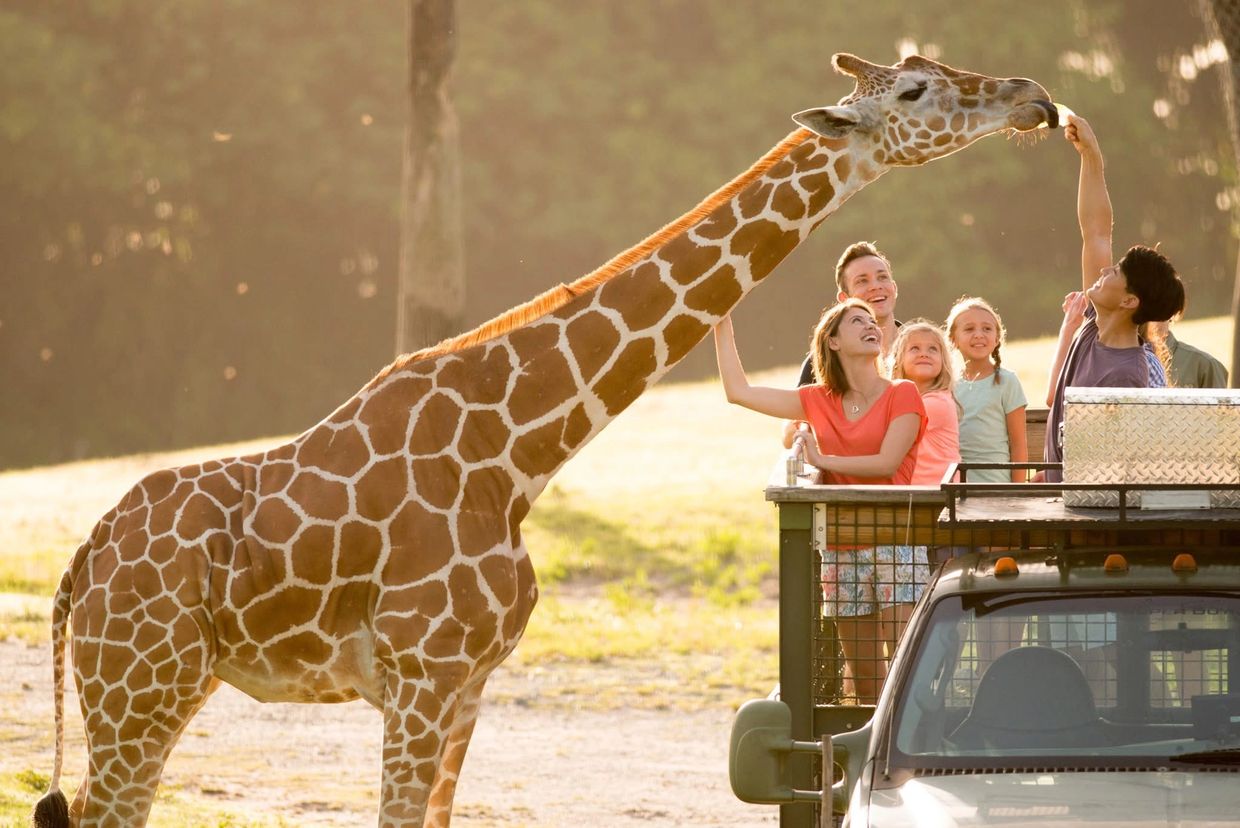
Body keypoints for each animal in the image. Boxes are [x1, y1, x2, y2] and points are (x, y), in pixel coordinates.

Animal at [32, 53, 1055, 827]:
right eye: (914, 92)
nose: (1032, 97)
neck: (515, 451)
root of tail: (80, 565)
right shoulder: (420, 677)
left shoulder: (466, 688)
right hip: (139, 688)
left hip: (158, 687)